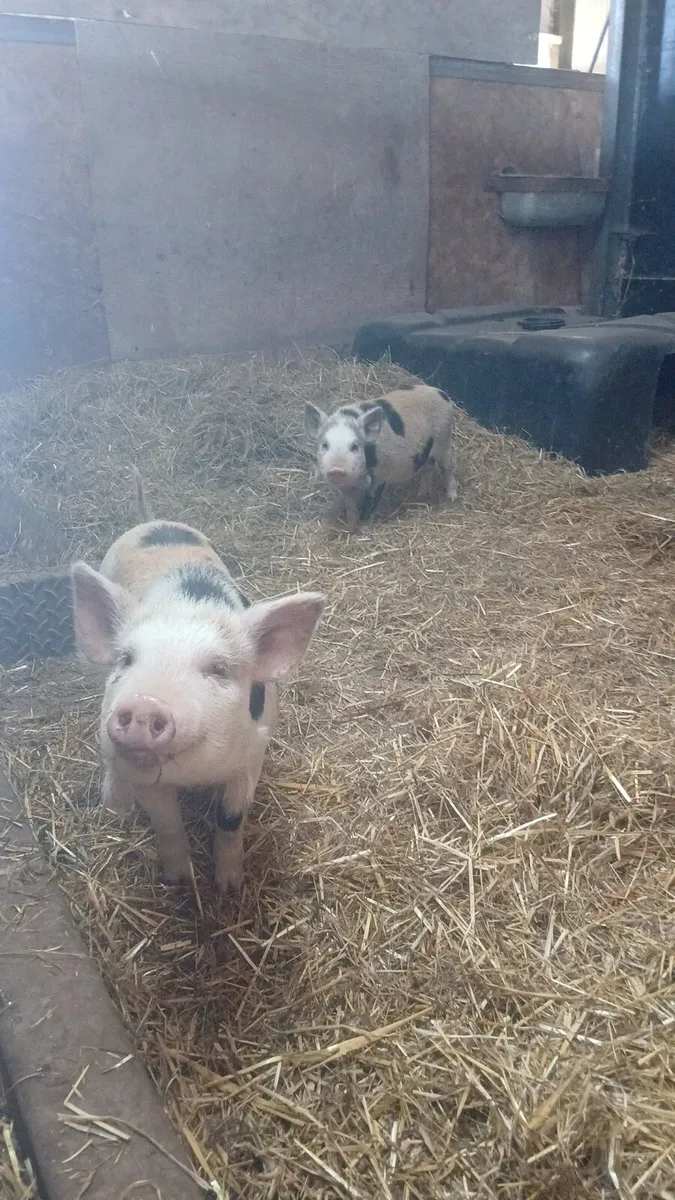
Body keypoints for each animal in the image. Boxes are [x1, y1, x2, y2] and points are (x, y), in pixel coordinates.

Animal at [71, 486, 325, 895]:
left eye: (218, 669)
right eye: (127, 659)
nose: (144, 703)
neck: (194, 774)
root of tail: (154, 521)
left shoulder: (253, 755)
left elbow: (230, 820)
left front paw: (229, 888)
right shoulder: (146, 776)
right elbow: (167, 823)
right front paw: (179, 884)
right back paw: (115, 806)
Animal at [305, 383, 458, 532]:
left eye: (355, 446)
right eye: (325, 445)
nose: (336, 469)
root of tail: (442, 394)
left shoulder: (382, 472)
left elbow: (371, 498)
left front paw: (366, 523)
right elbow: (350, 504)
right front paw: (351, 527)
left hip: (444, 439)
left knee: (448, 467)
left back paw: (452, 498)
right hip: (426, 451)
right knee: (428, 467)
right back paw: (421, 496)